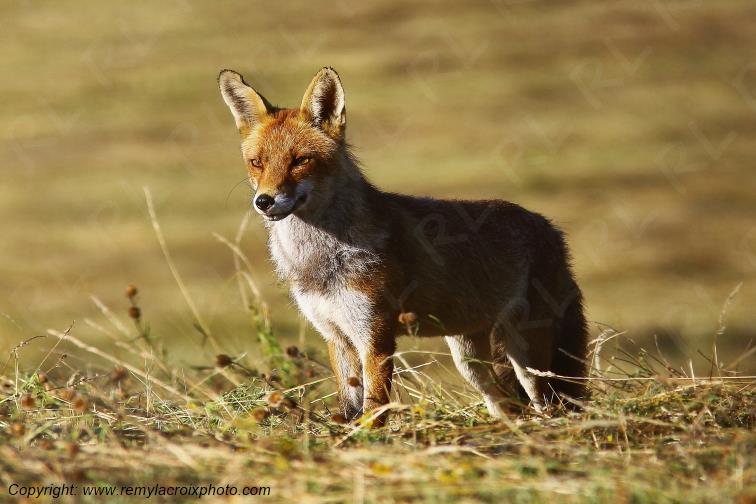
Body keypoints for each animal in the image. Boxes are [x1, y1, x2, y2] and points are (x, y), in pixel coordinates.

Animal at [218, 67, 588, 425]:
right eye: (257, 162)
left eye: (300, 160)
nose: (264, 201)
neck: (323, 258)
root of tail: (550, 228)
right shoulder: (337, 337)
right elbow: (349, 409)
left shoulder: (376, 339)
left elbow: (373, 412)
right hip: (470, 360)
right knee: (509, 406)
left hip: (529, 359)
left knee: (549, 403)